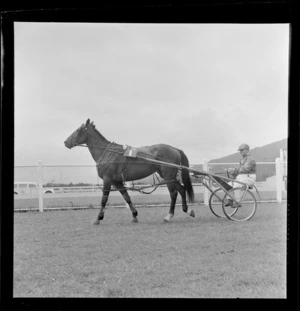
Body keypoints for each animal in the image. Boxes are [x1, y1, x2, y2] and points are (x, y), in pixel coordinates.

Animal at [63, 119, 195, 224]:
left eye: (78, 130)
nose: (65, 142)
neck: (108, 153)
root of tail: (174, 148)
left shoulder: (107, 179)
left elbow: (104, 199)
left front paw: (98, 218)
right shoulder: (117, 182)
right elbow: (126, 197)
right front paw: (134, 215)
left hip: (168, 177)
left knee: (174, 194)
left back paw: (169, 216)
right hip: (169, 177)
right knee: (182, 189)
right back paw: (187, 210)